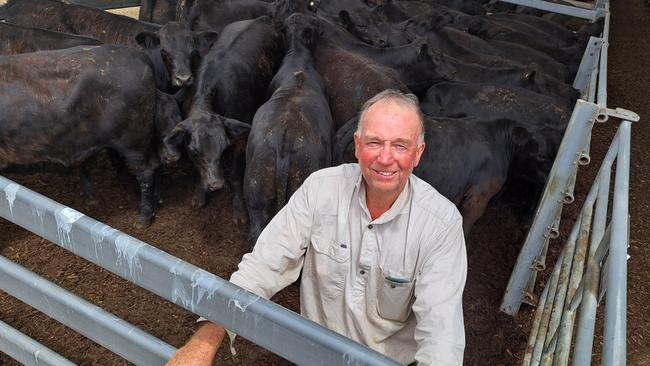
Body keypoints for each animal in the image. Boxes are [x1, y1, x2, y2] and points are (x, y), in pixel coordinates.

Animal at [163, 16, 282, 217]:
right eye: (194, 151)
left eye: (224, 147)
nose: (216, 184)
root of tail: (260, 19)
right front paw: (199, 194)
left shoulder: (241, 139)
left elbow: (235, 175)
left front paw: (239, 210)